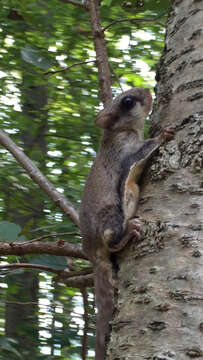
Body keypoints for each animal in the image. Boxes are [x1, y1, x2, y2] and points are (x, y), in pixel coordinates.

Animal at [78, 88, 174, 360]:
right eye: (127, 101)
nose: (149, 90)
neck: (121, 131)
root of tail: (91, 250)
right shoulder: (126, 154)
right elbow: (143, 151)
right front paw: (163, 134)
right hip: (116, 211)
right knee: (113, 241)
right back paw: (129, 230)